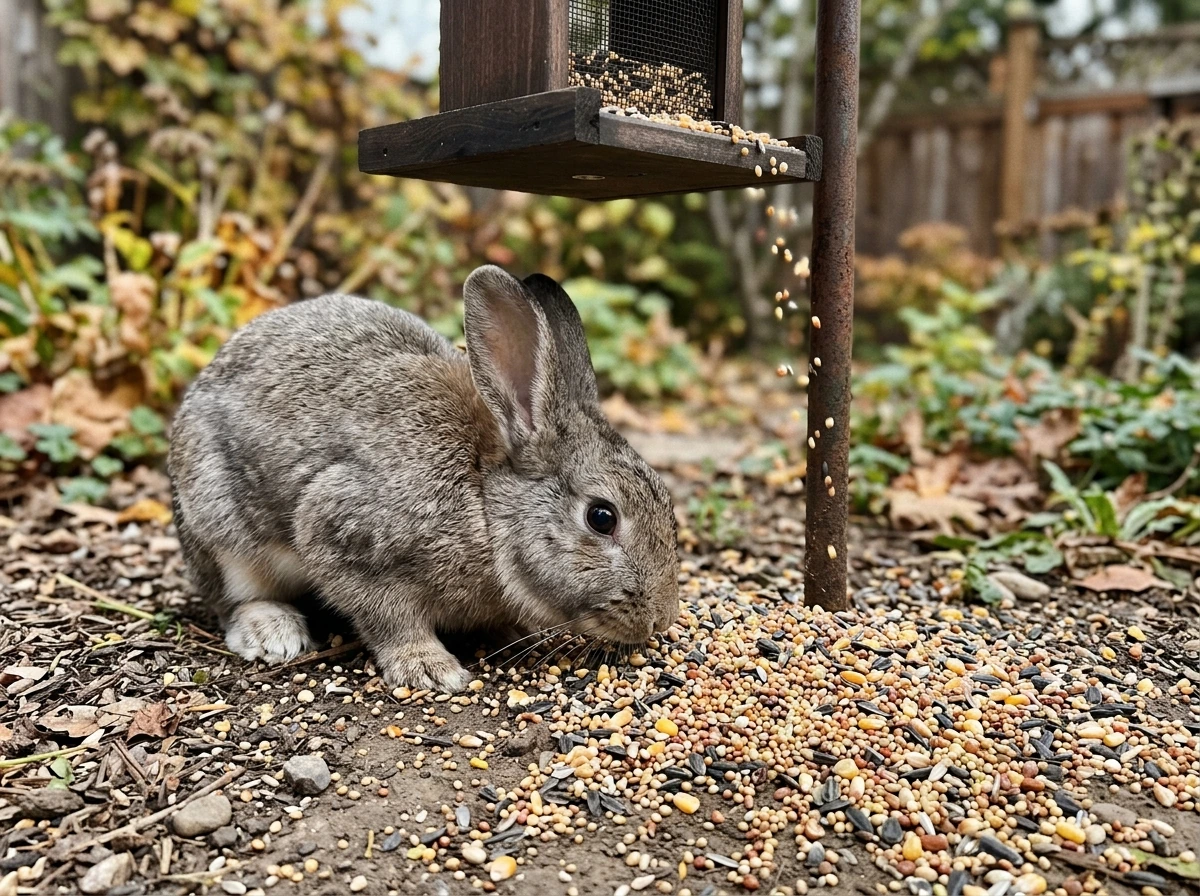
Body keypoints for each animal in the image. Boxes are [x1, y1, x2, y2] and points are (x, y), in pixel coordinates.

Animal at [168, 265, 681, 692]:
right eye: (601, 517)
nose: (661, 619)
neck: (485, 506)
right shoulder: (345, 535)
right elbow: (388, 617)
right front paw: (430, 668)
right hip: (220, 527)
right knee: (231, 597)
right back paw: (273, 632)